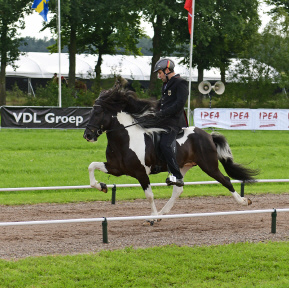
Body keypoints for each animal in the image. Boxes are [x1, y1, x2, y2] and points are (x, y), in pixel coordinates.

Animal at [82, 77, 258, 223]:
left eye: (98, 112)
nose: (87, 135)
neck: (125, 139)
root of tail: (208, 135)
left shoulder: (140, 172)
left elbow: (149, 195)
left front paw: (152, 218)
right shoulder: (116, 168)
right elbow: (91, 166)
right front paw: (101, 186)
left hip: (209, 165)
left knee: (225, 180)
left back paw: (244, 201)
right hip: (182, 166)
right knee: (178, 189)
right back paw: (162, 214)